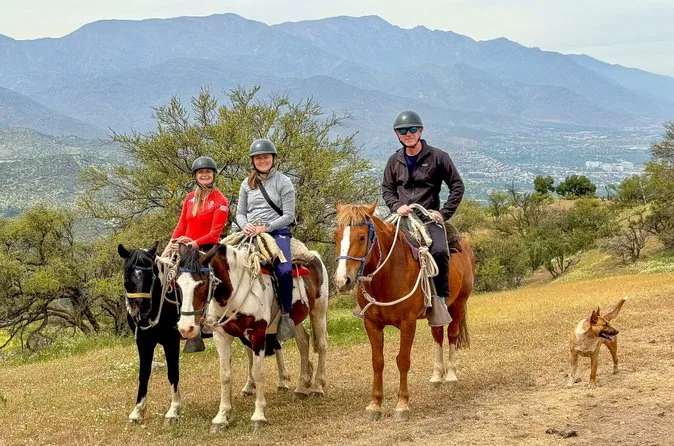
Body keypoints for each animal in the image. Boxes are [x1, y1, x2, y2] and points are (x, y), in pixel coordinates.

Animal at [117, 242, 182, 425]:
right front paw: (138, 410)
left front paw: (173, 409)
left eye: (151, 275)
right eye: (127, 274)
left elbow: (173, 372)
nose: (143, 310)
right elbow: (144, 373)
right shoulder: (143, 342)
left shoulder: (171, 341)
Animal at [175, 242, 329, 430]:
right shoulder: (221, 336)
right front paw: (221, 416)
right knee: (303, 343)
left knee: (321, 345)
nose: (186, 328)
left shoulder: (257, 333)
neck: (235, 292)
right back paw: (301, 388)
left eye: (202, 284)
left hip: (319, 313)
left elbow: (257, 371)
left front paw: (258, 415)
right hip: (296, 319)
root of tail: (314, 256)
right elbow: (225, 374)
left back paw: (317, 387)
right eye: (178, 285)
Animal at [333, 202, 474, 420]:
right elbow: (377, 361)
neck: (387, 274)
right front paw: (374, 405)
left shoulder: (408, 323)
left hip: (458, 304)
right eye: (336, 235)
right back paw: (436, 377)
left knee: (451, 335)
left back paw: (450, 376)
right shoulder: (371, 324)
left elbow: (403, 360)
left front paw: (402, 405)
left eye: (362, 237)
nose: (342, 281)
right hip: (435, 314)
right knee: (437, 336)